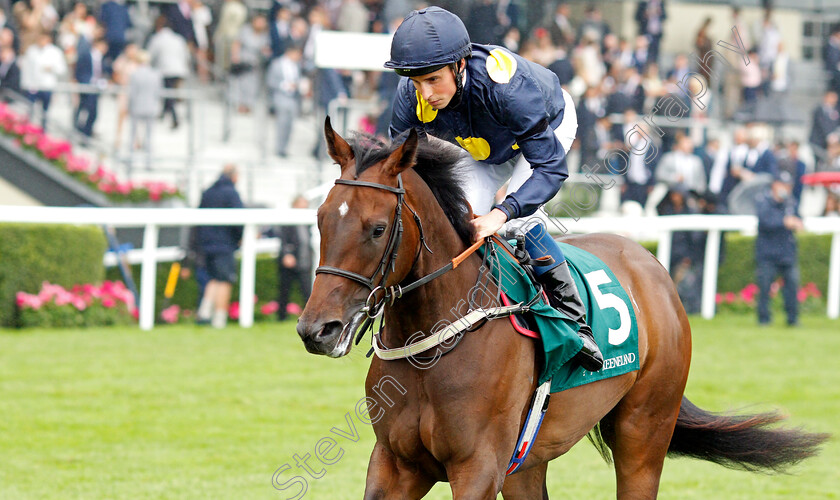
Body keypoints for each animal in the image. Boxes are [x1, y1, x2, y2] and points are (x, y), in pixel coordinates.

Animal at [296, 119, 828, 498]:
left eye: (377, 228)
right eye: (320, 219)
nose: (316, 330)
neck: (435, 344)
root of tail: (650, 263)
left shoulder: (477, 467)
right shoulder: (395, 463)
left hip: (643, 431)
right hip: (527, 461)